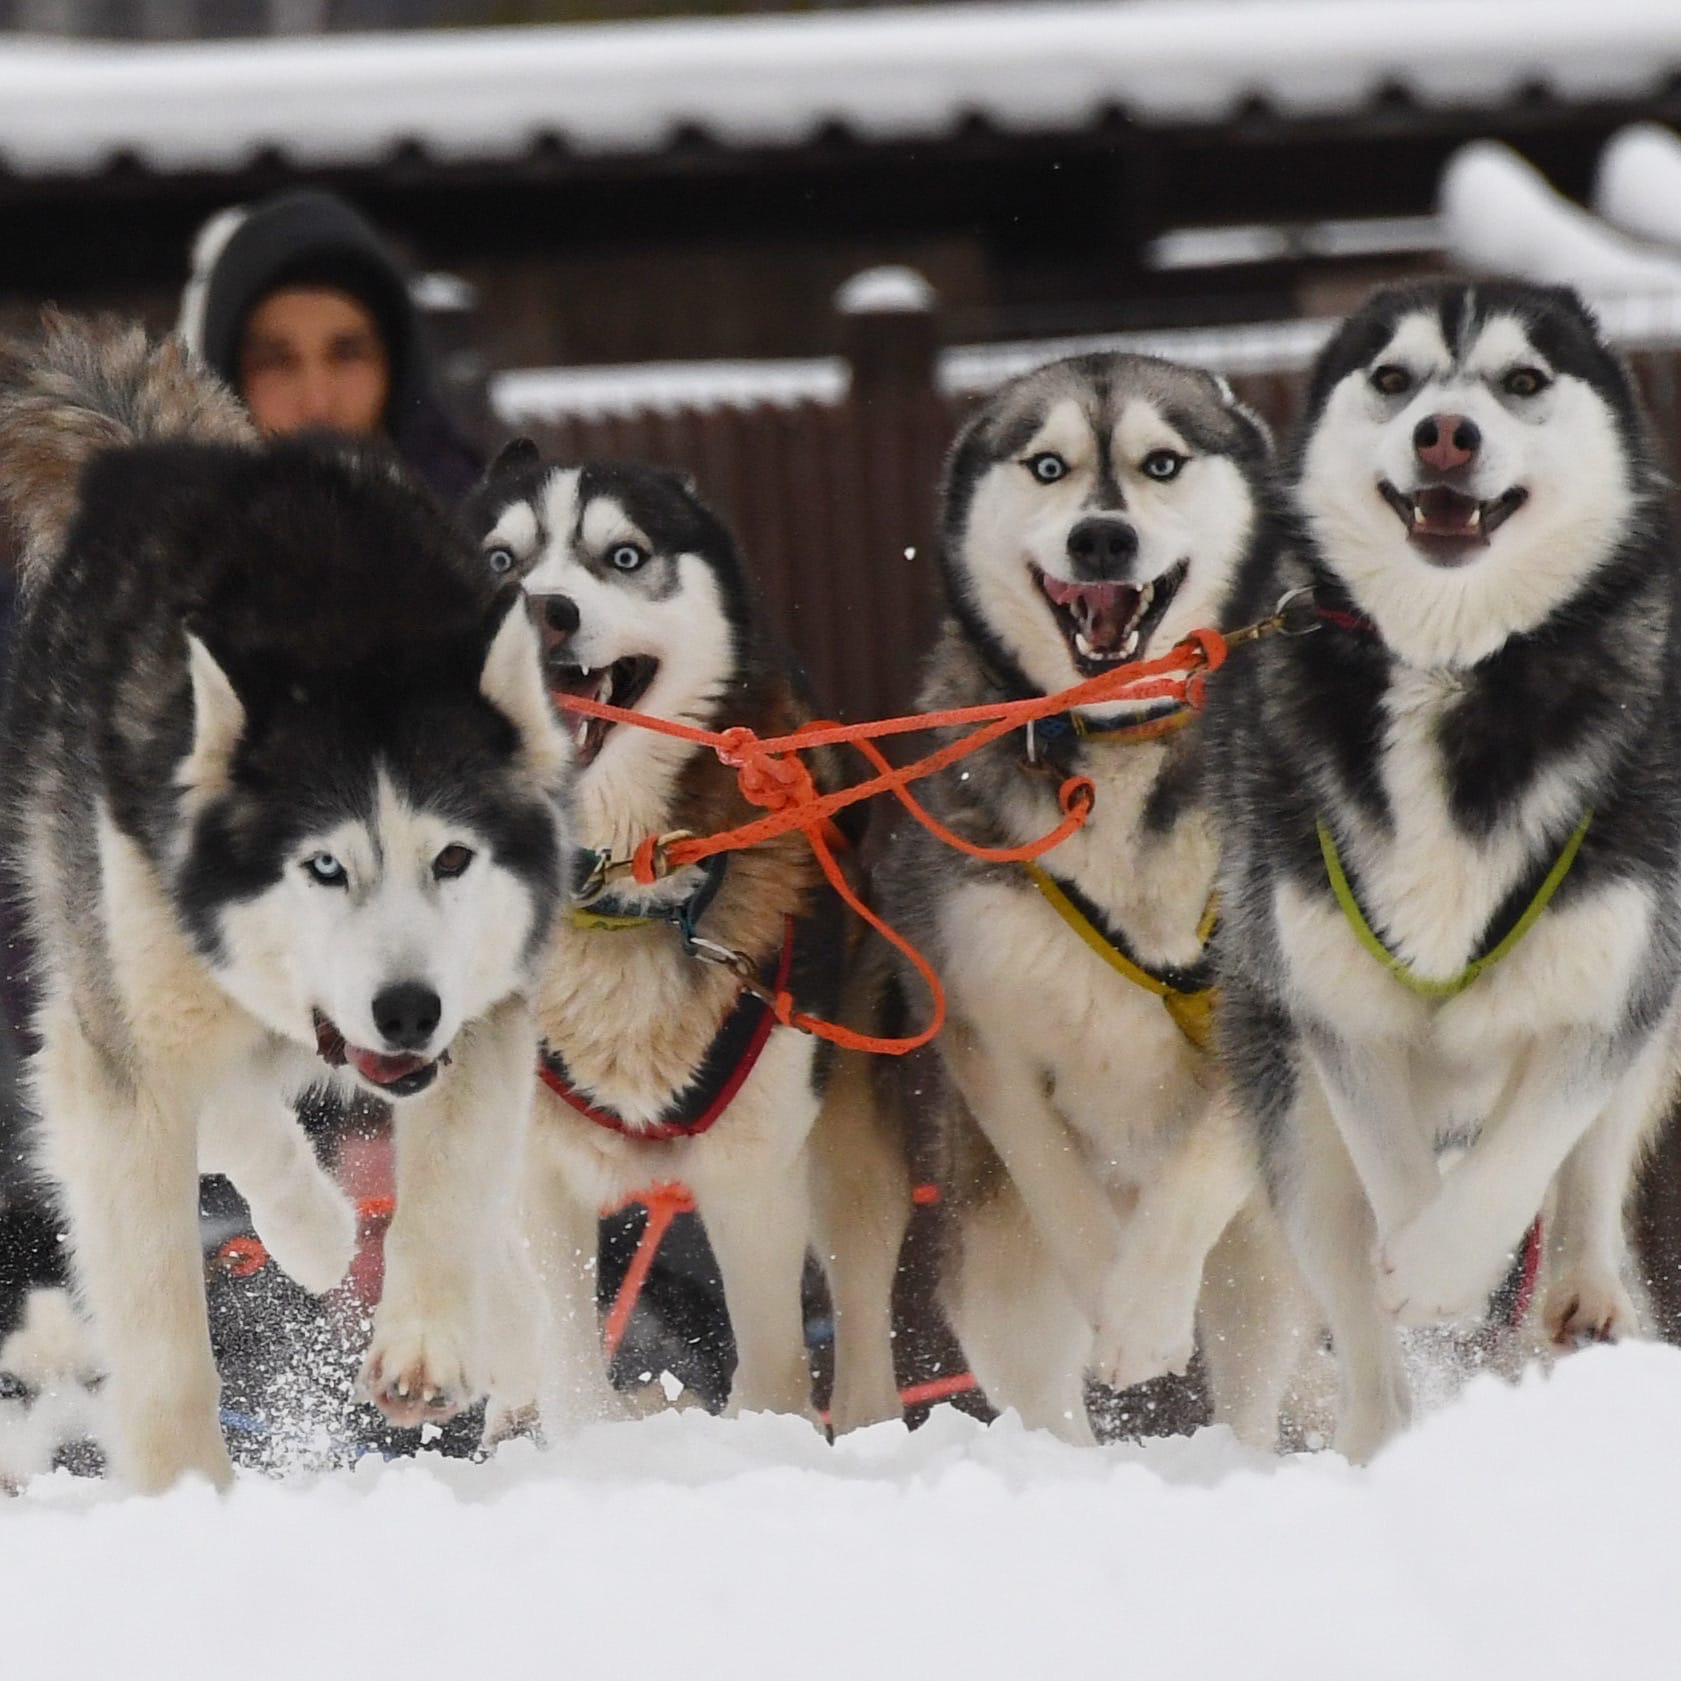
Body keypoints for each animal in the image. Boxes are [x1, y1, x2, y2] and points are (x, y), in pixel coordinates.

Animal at [0, 316, 571, 1486]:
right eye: (323, 866)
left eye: (453, 858)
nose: (408, 1010)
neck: (336, 643)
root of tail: (152, 451)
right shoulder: (119, 1053)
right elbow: (163, 1323)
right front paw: (188, 1495)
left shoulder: (485, 1004)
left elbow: (449, 1189)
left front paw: (429, 1338)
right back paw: (314, 1229)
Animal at [460, 447, 853, 1432]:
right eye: (498, 559)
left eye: (624, 556)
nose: (543, 608)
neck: (610, 898)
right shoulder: (536, 1172)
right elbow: (568, 1360)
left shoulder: (753, 1166)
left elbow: (772, 1363)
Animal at [860, 354, 1304, 1445]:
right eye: (1048, 465)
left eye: (1162, 462)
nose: (1101, 536)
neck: (1116, 746)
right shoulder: (985, 1028)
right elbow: (1056, 1183)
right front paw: (1114, 1292)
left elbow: (1191, 1180)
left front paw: (1140, 1311)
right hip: (994, 1258)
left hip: (1263, 1253)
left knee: (1250, 1368)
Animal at [1217, 279, 1681, 1459]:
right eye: (1393, 378)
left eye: (1521, 380)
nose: (1445, 433)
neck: (1451, 663)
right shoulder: (1336, 1005)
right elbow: (1394, 1171)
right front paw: (1423, 1270)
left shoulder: (1613, 975)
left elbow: (1536, 1145)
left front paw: (1447, 1262)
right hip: (1286, 1103)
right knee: (1350, 1295)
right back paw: (1381, 1445)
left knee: (1591, 1167)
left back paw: (1581, 1288)